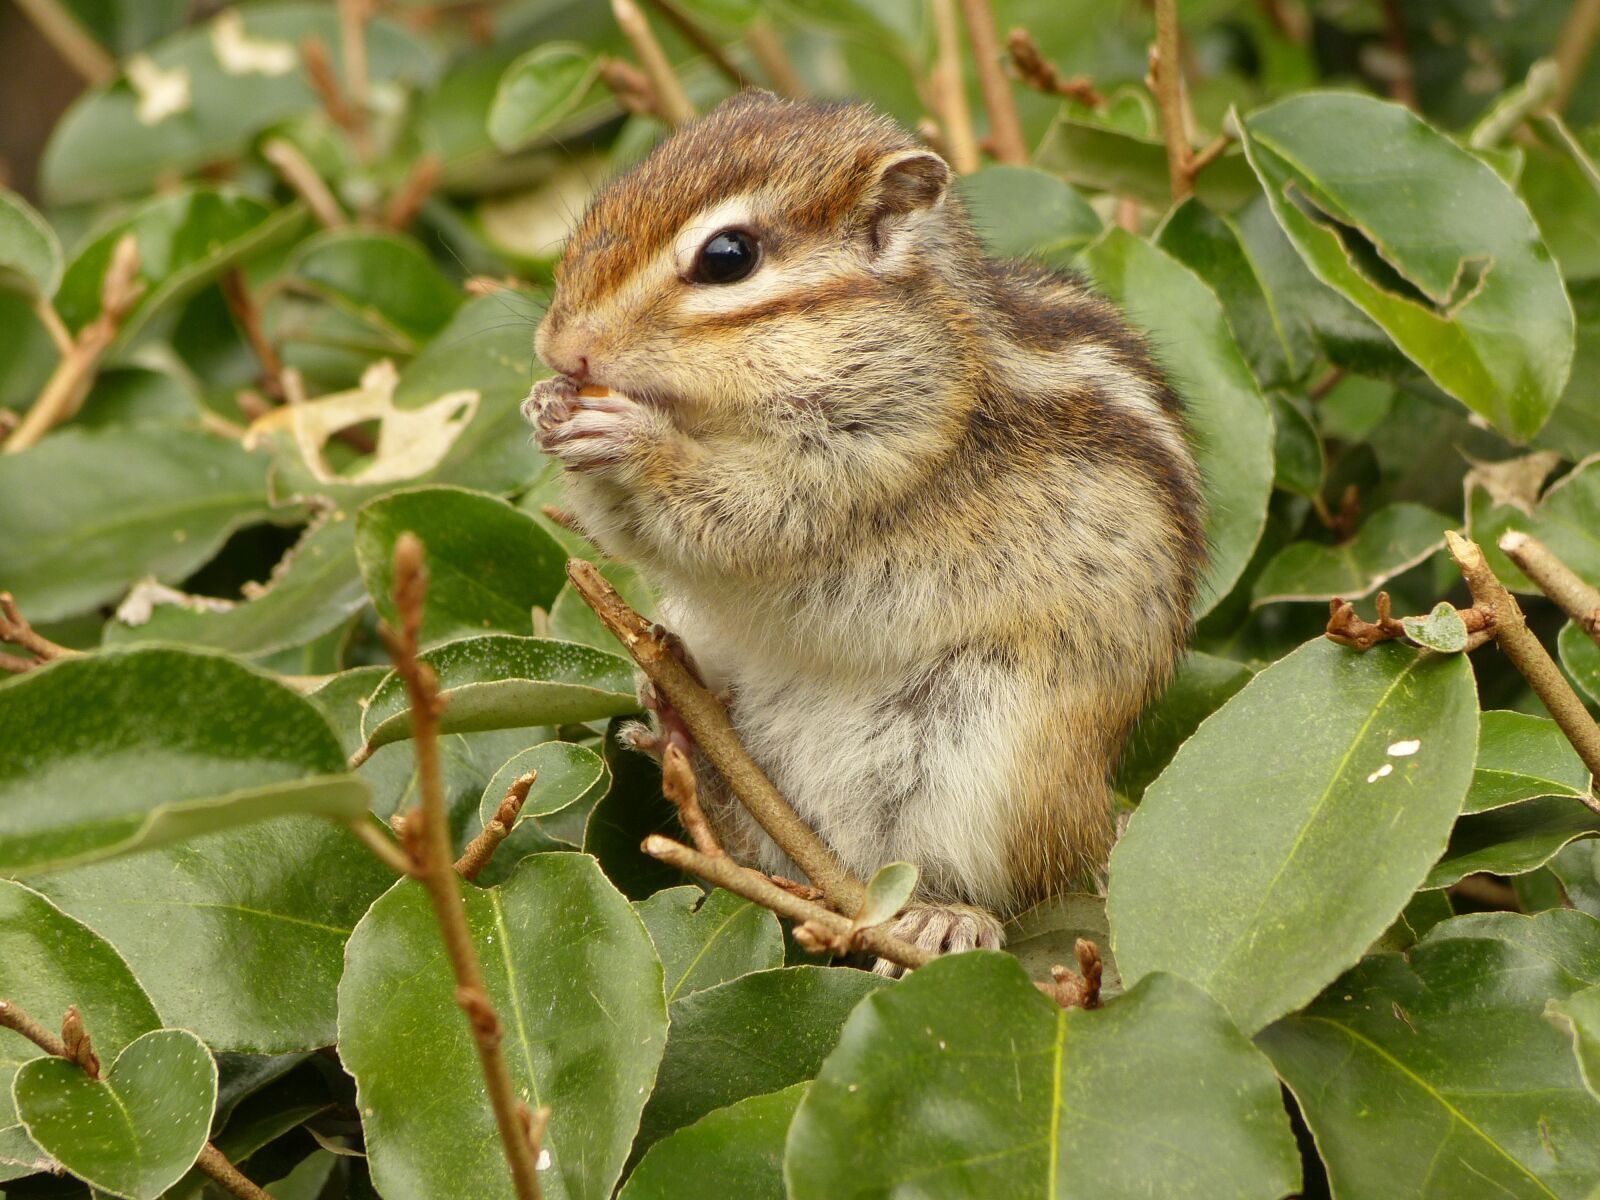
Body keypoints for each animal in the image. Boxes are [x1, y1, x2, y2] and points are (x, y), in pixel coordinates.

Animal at [524, 91, 1205, 965]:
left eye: (728, 257)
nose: (560, 347)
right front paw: (547, 405)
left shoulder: (875, 440)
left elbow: (747, 515)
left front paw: (631, 436)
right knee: (758, 847)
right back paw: (685, 733)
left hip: (987, 756)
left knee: (1003, 887)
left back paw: (949, 917)